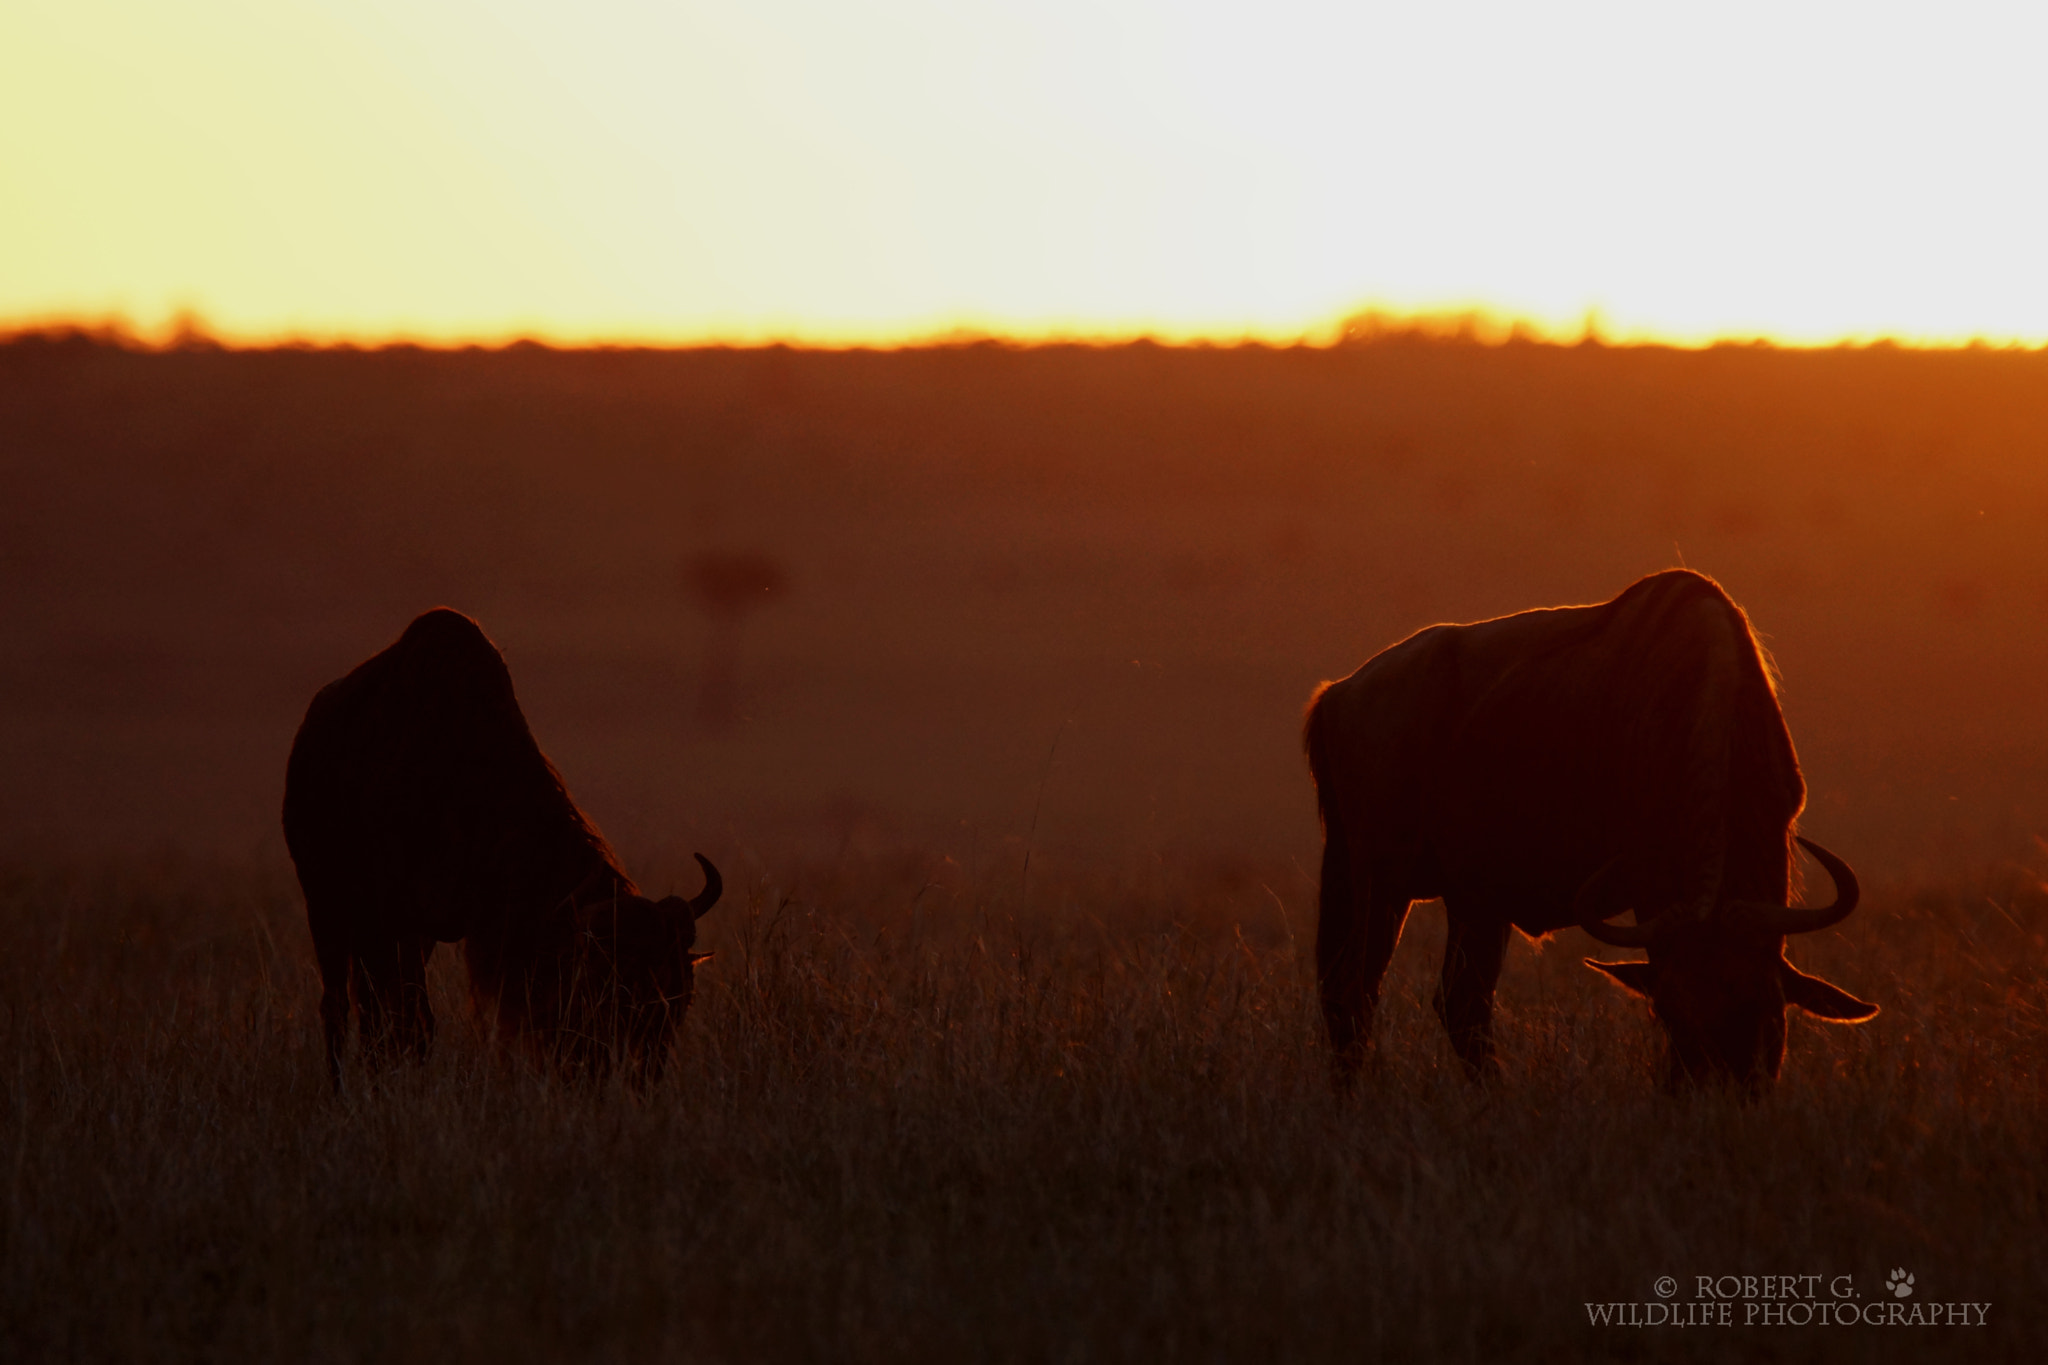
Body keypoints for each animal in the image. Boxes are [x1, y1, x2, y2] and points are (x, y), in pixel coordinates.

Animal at [282, 609, 720, 1088]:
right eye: (612, 987)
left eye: (681, 997)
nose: (645, 1069)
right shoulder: (388, 919)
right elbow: (396, 1020)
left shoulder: (426, 931)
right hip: (326, 904)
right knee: (341, 1007)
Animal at [1310, 573, 1875, 1096]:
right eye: (1667, 1012)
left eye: (1764, 1006)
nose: (1711, 1089)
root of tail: (1341, 694)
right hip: (1398, 886)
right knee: (1382, 994)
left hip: (1428, 890)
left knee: (1388, 994)